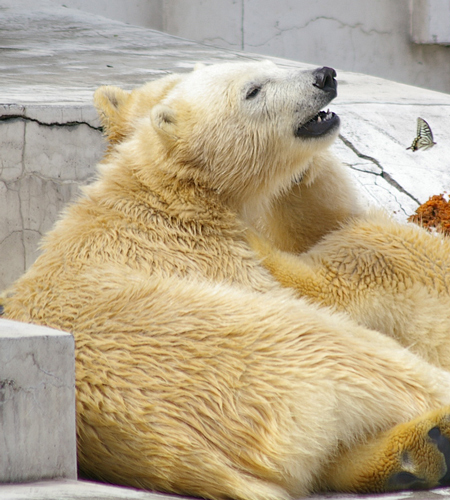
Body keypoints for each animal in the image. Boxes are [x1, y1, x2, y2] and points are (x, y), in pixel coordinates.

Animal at [2, 60, 450, 498]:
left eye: (272, 65)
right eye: (252, 90)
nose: (325, 76)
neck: (176, 193)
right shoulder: (211, 254)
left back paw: (419, 453)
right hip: (242, 348)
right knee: (350, 349)